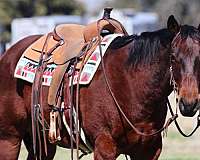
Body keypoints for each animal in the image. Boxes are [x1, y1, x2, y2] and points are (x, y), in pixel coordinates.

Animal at [0, 15, 199, 160]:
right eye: (173, 57)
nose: (189, 104)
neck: (131, 85)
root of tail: (8, 54)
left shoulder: (149, 151)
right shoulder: (105, 148)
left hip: (42, 141)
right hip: (9, 138)